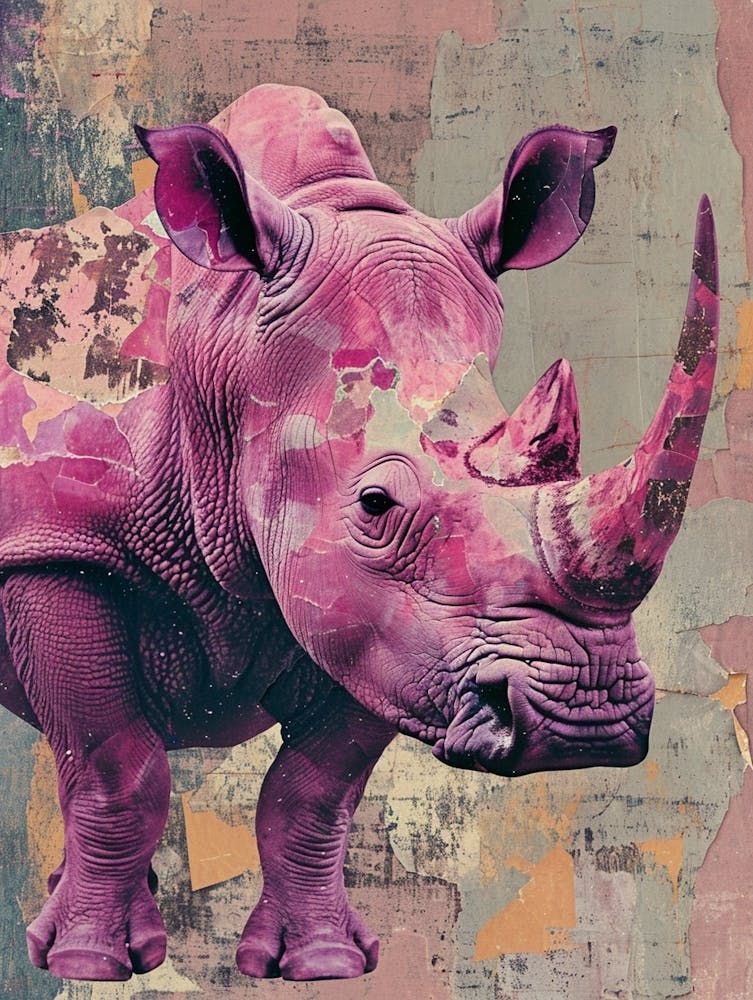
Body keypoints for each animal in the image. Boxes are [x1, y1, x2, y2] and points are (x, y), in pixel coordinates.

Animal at [0, 84, 717, 982]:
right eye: (375, 504)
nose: (583, 713)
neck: (224, 350)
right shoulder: (53, 542)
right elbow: (115, 766)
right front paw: (85, 966)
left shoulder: (388, 628)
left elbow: (313, 790)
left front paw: (324, 964)